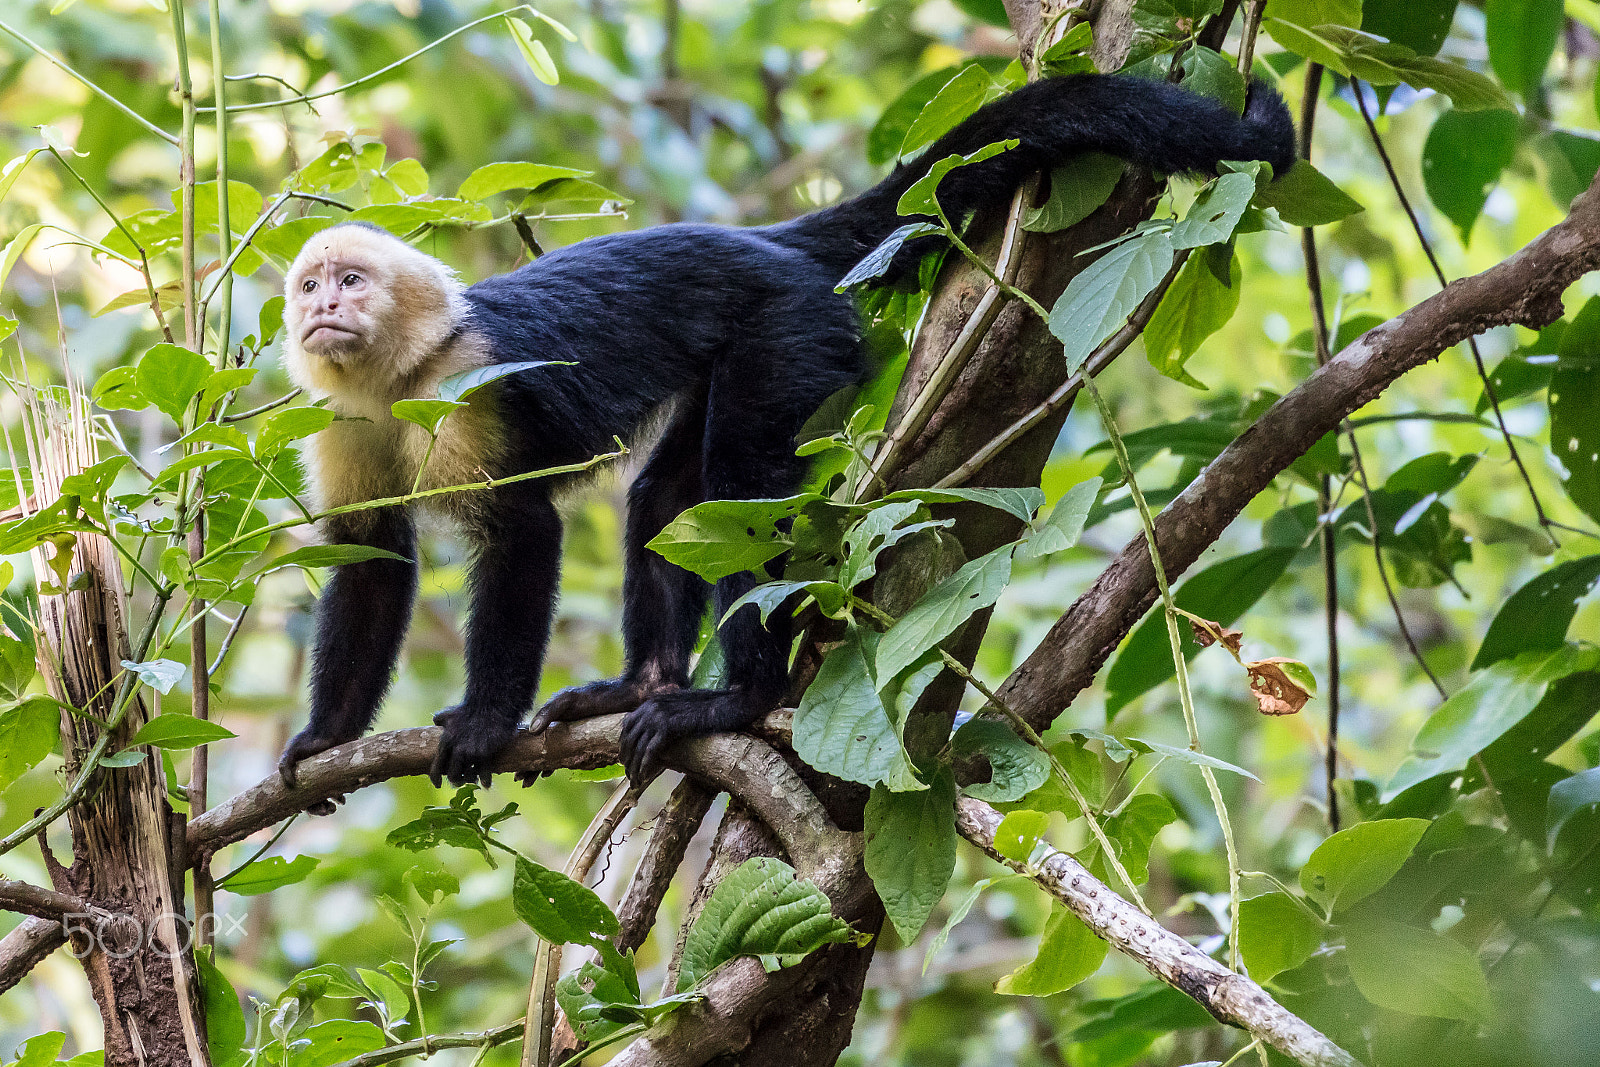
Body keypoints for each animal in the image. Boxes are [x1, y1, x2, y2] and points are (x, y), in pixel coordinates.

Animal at [274, 72, 1296, 790]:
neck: (402, 375)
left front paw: (486, 721)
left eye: (352, 282)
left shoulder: (467, 384)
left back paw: (737, 699)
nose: (322, 308)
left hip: (787, 327)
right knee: (673, 501)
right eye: (309, 285)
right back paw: (645, 684)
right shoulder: (342, 418)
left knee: (735, 480)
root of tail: (767, 240)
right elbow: (368, 555)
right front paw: (328, 737)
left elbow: (524, 531)